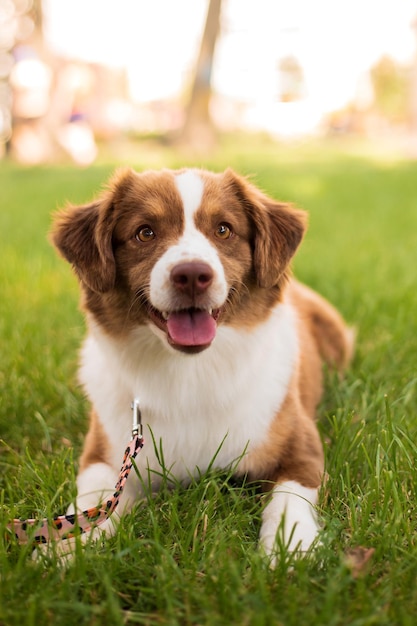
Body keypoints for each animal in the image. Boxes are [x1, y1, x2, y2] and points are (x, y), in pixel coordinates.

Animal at [50, 166, 352, 556]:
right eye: (144, 232)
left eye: (223, 229)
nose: (192, 275)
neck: (189, 375)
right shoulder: (105, 456)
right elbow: (91, 506)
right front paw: (61, 552)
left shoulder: (302, 450)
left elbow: (288, 500)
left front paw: (288, 548)